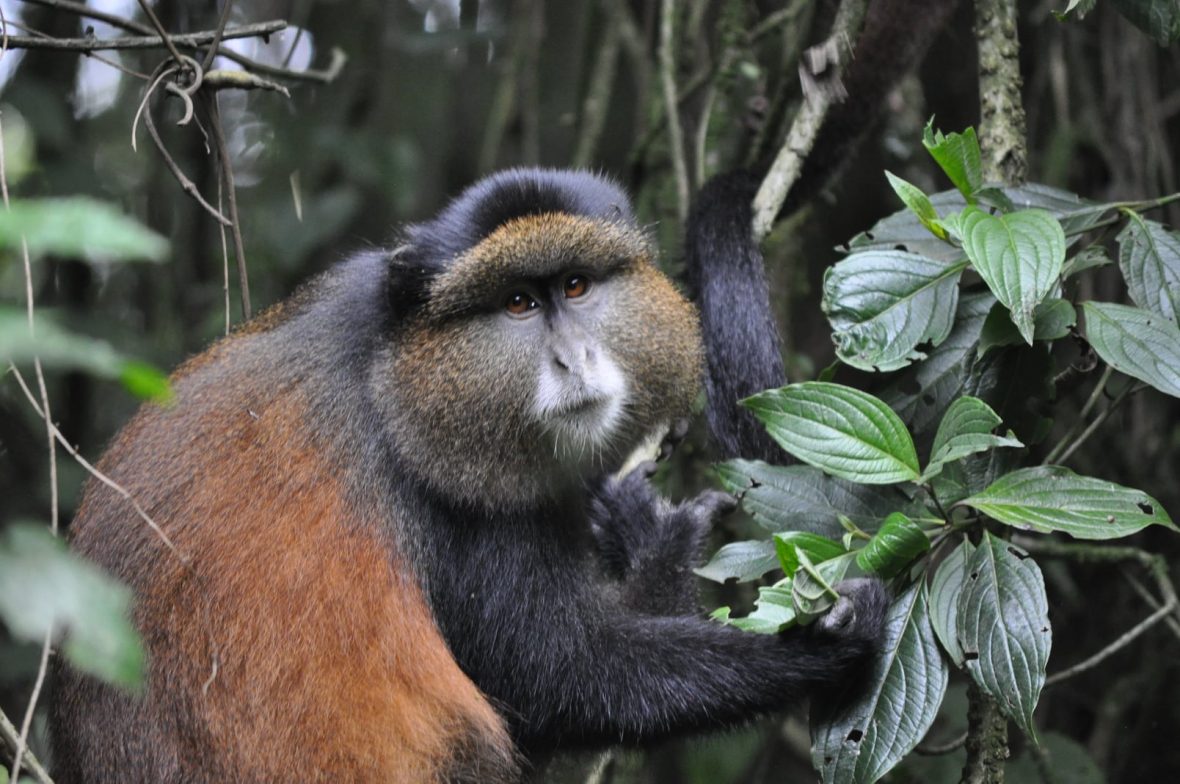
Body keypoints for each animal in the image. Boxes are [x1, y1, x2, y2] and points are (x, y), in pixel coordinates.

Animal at [47, 167, 887, 783]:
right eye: (517, 303)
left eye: (574, 286)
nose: (572, 358)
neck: (395, 366)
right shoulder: (452, 496)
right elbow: (563, 679)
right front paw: (818, 640)